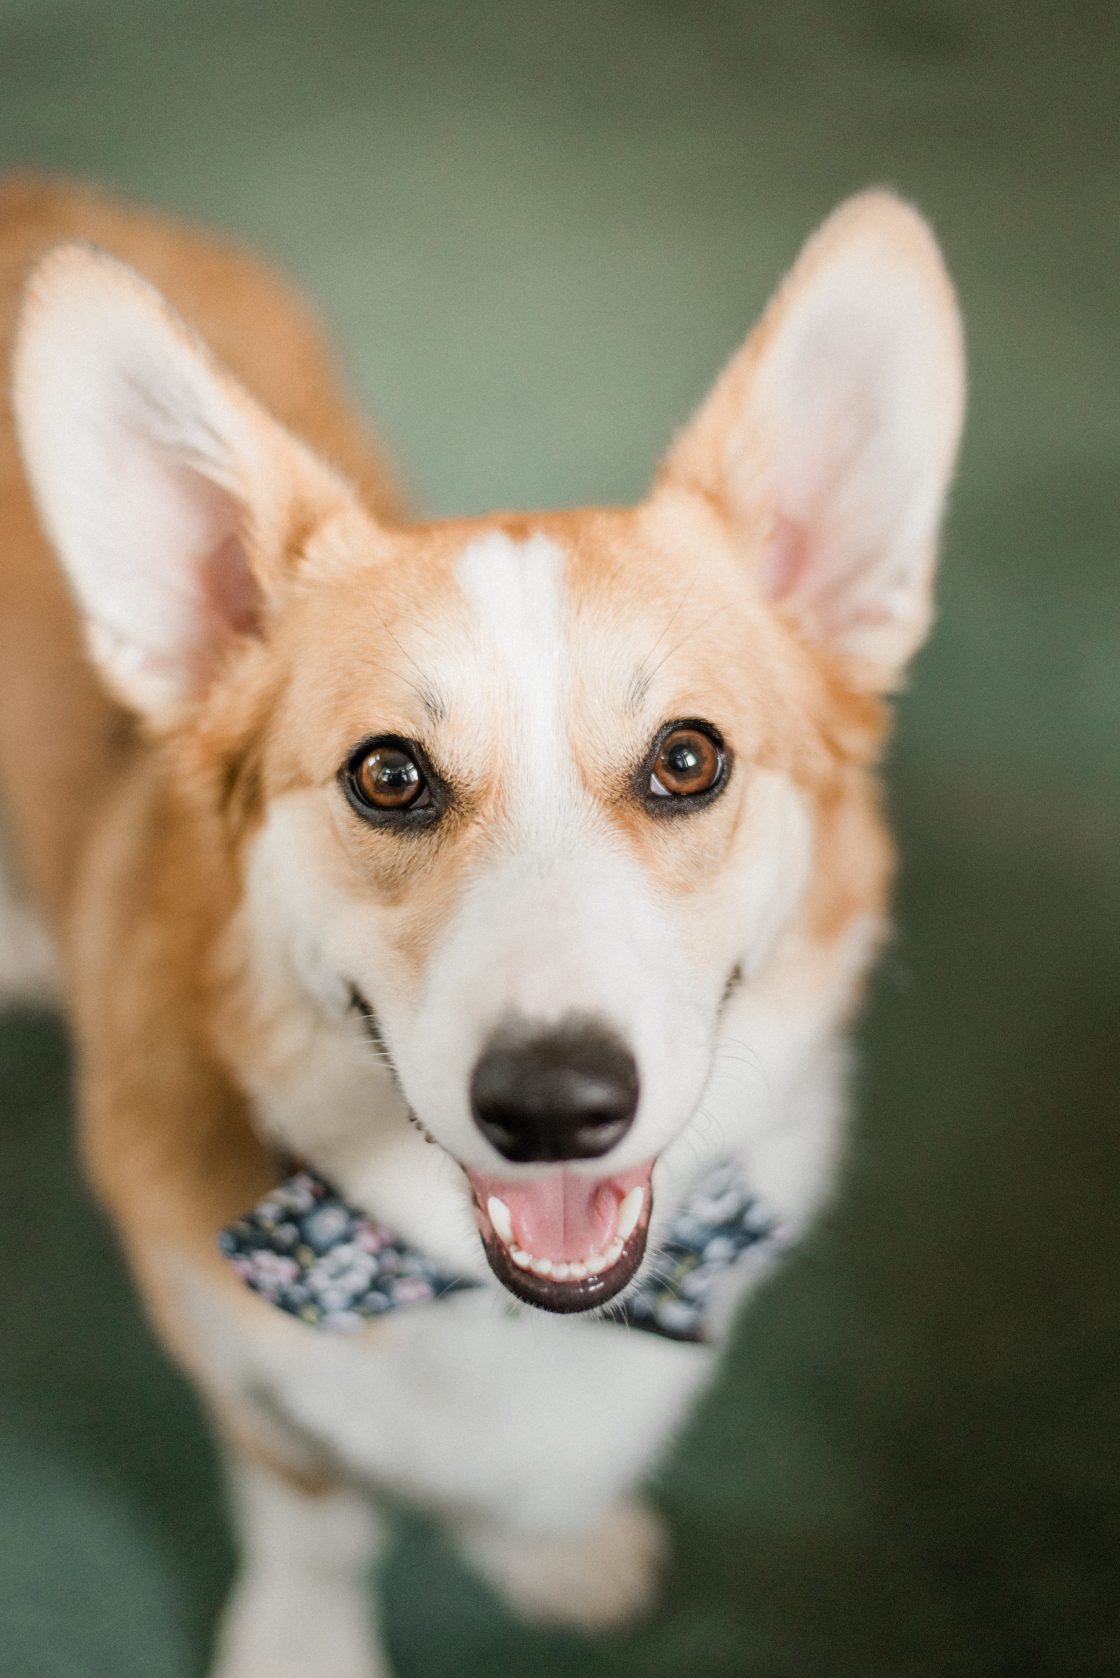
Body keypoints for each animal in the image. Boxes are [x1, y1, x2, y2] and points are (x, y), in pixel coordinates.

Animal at [0, 177, 967, 1671]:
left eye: (688, 759)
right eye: (389, 776)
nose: (556, 1103)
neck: (457, 1283)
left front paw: (552, 1551)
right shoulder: (240, 1372)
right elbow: (315, 1520)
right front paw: (303, 1642)